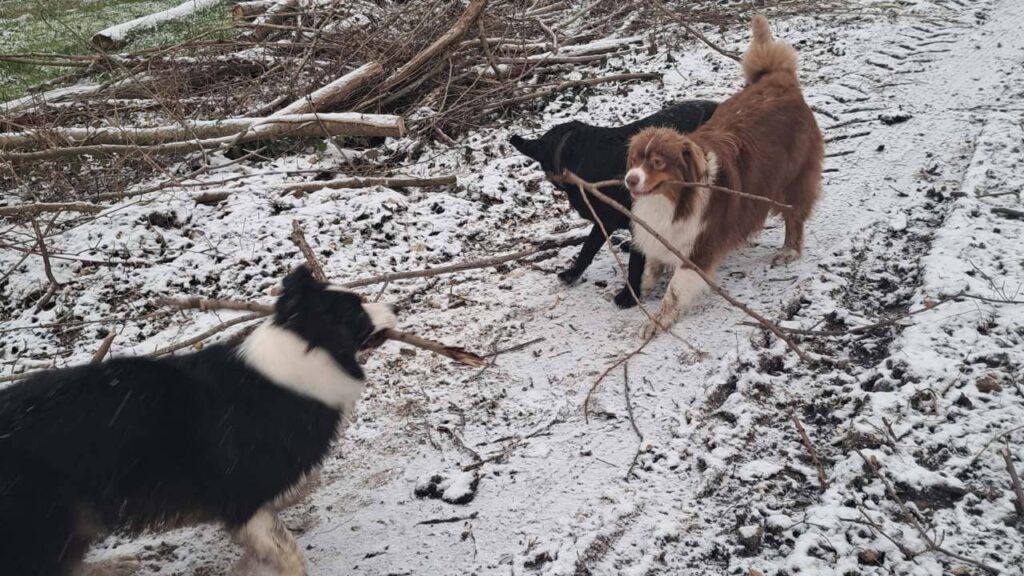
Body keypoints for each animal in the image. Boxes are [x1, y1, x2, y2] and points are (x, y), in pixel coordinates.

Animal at [0, 266, 395, 573]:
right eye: (358, 311)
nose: (392, 305)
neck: (302, 351)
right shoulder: (243, 495)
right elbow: (286, 550)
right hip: (49, 523)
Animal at [622, 14, 823, 336]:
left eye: (657, 162)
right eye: (635, 159)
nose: (630, 179)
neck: (675, 199)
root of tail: (778, 78)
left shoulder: (700, 246)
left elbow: (675, 291)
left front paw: (657, 322)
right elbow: (651, 265)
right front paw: (645, 283)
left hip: (795, 179)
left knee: (794, 217)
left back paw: (789, 251)